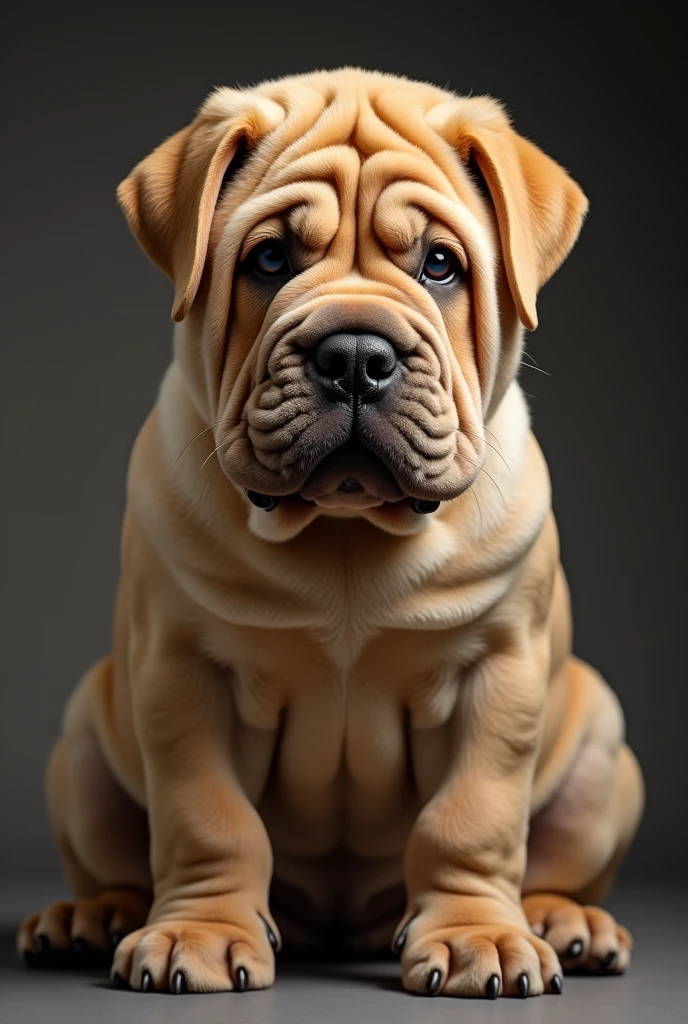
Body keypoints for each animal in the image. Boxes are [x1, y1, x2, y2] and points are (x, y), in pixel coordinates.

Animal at [20, 70, 647, 999]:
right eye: (269, 261)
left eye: (440, 264)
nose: (355, 355)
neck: (345, 534)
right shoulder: (182, 674)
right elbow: (207, 816)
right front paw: (199, 934)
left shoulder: (498, 673)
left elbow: (473, 817)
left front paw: (477, 937)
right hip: (85, 751)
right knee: (119, 858)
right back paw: (91, 916)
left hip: (601, 749)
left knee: (556, 863)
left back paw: (563, 920)